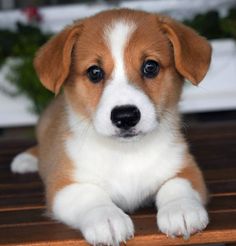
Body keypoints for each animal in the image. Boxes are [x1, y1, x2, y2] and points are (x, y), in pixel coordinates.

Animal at [10, 8, 212, 246]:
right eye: (94, 72)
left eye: (150, 67)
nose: (125, 116)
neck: (125, 153)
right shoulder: (63, 186)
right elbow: (91, 196)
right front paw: (106, 219)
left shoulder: (187, 168)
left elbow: (177, 185)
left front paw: (180, 209)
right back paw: (27, 159)